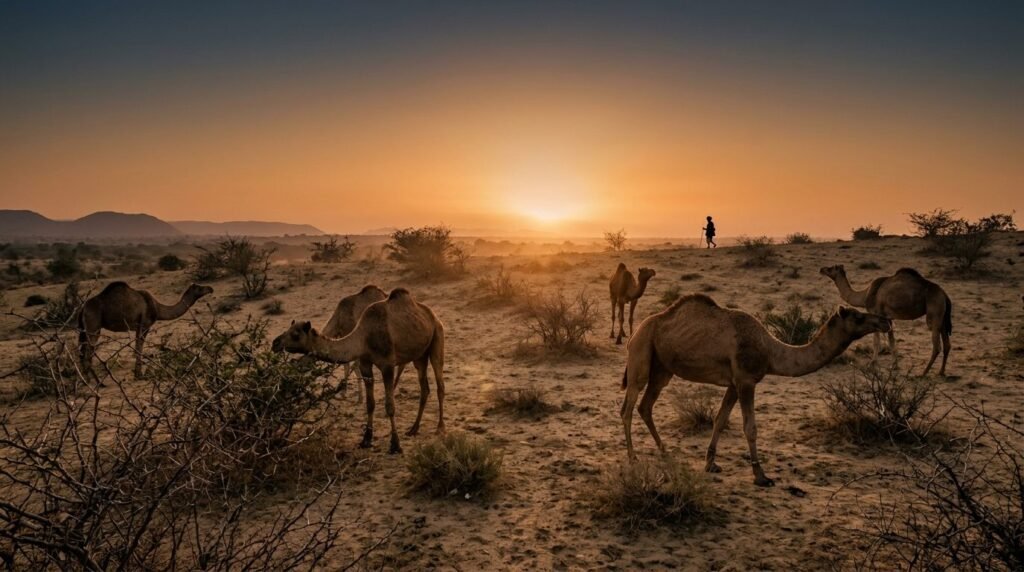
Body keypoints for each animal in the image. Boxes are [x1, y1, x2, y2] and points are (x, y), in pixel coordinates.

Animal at [78, 281, 214, 380]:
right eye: (199, 288)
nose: (210, 288)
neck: (157, 308)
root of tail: (83, 308)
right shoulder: (145, 324)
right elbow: (139, 346)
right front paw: (140, 375)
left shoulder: (139, 326)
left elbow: (138, 346)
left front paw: (137, 374)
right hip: (93, 326)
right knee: (88, 350)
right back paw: (94, 382)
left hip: (86, 329)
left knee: (83, 350)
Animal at [271, 288, 445, 454]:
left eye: (295, 334)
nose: (275, 343)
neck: (364, 337)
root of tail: (433, 315)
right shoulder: (365, 363)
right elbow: (370, 403)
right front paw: (366, 440)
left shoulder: (387, 365)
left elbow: (390, 406)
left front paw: (395, 445)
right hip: (420, 356)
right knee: (424, 387)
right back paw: (413, 429)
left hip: (437, 337)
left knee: (440, 384)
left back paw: (440, 427)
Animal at [621, 294, 891, 486]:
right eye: (858, 316)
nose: (885, 321)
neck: (771, 352)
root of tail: (634, 334)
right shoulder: (746, 380)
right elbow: (750, 428)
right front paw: (760, 475)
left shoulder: (734, 383)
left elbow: (720, 420)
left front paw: (710, 464)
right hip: (641, 355)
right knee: (628, 406)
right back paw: (632, 457)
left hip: (662, 368)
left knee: (646, 406)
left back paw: (665, 451)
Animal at [820, 265, 952, 376]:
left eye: (831, 268)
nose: (822, 269)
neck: (864, 295)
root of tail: (945, 295)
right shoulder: (888, 317)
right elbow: (891, 341)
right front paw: (894, 365)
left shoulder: (876, 314)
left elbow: (876, 341)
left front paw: (871, 364)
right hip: (942, 316)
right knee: (947, 344)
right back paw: (941, 372)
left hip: (934, 311)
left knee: (937, 345)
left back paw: (923, 373)